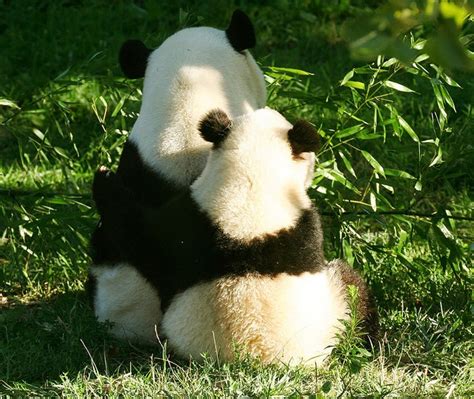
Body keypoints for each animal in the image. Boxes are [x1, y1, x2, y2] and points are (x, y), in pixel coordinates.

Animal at [93, 108, 378, 368]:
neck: (249, 183)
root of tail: (254, 358)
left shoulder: (189, 222)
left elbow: (142, 240)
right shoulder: (191, 217)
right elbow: (141, 238)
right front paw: (104, 177)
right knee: (354, 287)